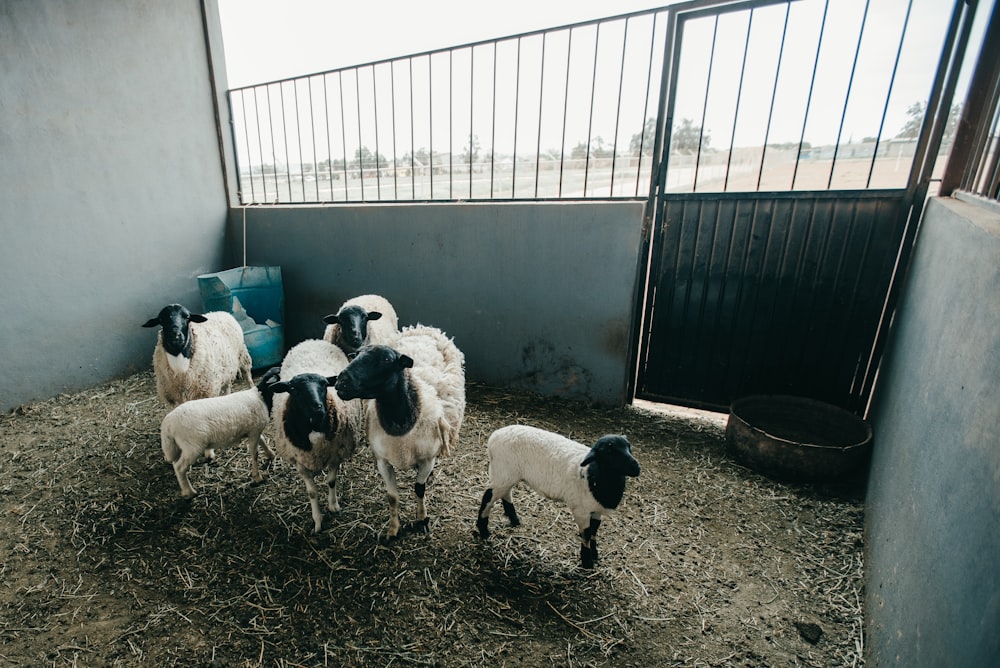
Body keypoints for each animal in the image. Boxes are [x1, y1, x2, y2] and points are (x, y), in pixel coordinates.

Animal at [161, 368, 284, 498]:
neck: (262, 396)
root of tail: (167, 424)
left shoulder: (254, 430)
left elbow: (263, 441)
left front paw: (271, 454)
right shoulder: (254, 431)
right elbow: (254, 454)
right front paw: (257, 477)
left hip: (180, 447)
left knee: (175, 463)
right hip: (193, 447)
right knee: (179, 467)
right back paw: (189, 492)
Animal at [270, 340, 368, 532]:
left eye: (324, 385)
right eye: (293, 389)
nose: (317, 408)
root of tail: (312, 340)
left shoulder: (335, 453)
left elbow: (331, 481)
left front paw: (333, 506)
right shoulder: (300, 461)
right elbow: (312, 492)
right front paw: (317, 520)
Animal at [332, 324, 464, 544]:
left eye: (386, 360)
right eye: (355, 355)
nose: (341, 382)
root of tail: (424, 328)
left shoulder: (427, 459)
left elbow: (419, 489)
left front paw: (422, 519)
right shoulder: (383, 460)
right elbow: (392, 497)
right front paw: (393, 530)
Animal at [474, 428, 640, 568]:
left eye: (628, 447)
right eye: (609, 451)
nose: (636, 467)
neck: (593, 474)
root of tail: (494, 436)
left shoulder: (596, 510)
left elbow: (594, 531)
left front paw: (594, 554)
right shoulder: (581, 510)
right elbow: (586, 534)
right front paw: (587, 561)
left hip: (508, 475)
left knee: (505, 493)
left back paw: (514, 519)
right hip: (503, 471)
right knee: (488, 496)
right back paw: (483, 529)